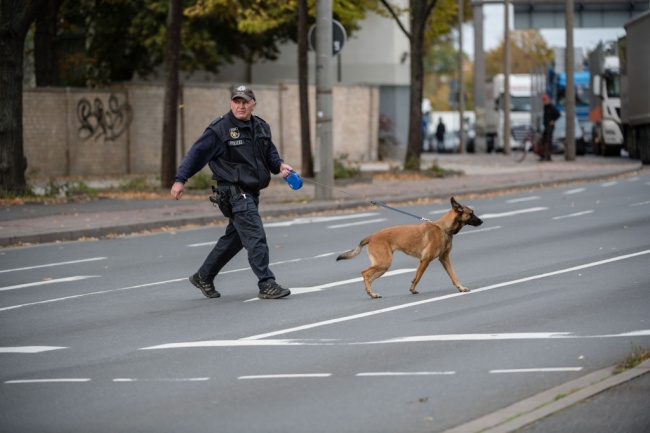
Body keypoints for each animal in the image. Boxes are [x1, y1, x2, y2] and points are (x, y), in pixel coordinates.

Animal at [334, 196, 480, 296]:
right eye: (471, 213)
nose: (482, 221)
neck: (443, 228)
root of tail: (371, 236)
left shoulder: (444, 259)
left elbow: (454, 275)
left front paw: (461, 288)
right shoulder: (425, 260)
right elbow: (417, 277)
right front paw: (412, 289)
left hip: (383, 266)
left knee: (369, 278)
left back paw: (371, 293)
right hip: (383, 263)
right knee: (364, 273)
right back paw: (372, 292)